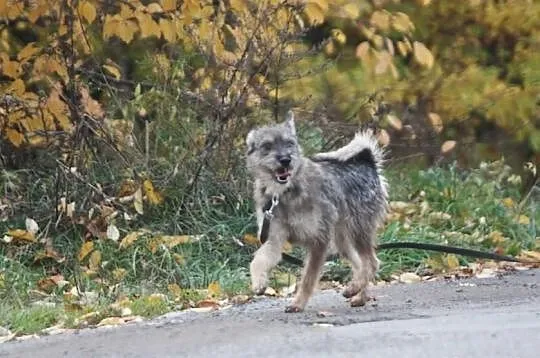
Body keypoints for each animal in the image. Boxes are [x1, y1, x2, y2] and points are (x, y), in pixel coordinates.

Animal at [245, 110, 388, 312]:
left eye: (290, 143)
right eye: (267, 146)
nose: (285, 160)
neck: (285, 194)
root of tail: (367, 162)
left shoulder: (319, 241)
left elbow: (308, 278)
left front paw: (298, 303)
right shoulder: (274, 240)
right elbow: (258, 261)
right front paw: (259, 283)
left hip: (358, 232)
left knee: (371, 263)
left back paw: (357, 291)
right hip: (342, 241)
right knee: (362, 264)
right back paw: (357, 293)